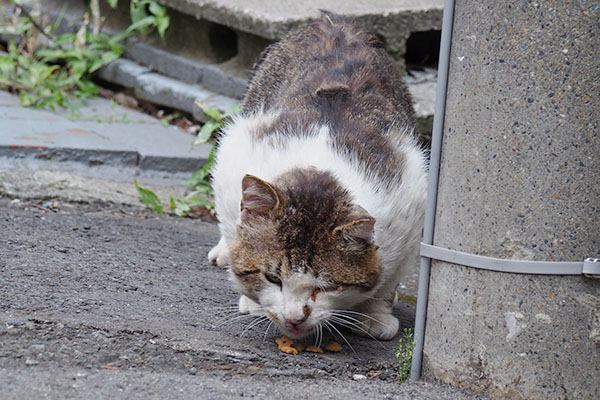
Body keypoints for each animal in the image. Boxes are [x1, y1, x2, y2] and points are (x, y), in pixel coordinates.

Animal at [209, 11, 428, 340]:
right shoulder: (235, 157)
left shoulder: (411, 204)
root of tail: (336, 21)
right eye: (273, 278)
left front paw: (375, 314)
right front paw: (253, 299)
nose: (294, 318)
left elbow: (386, 281)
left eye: (326, 286)